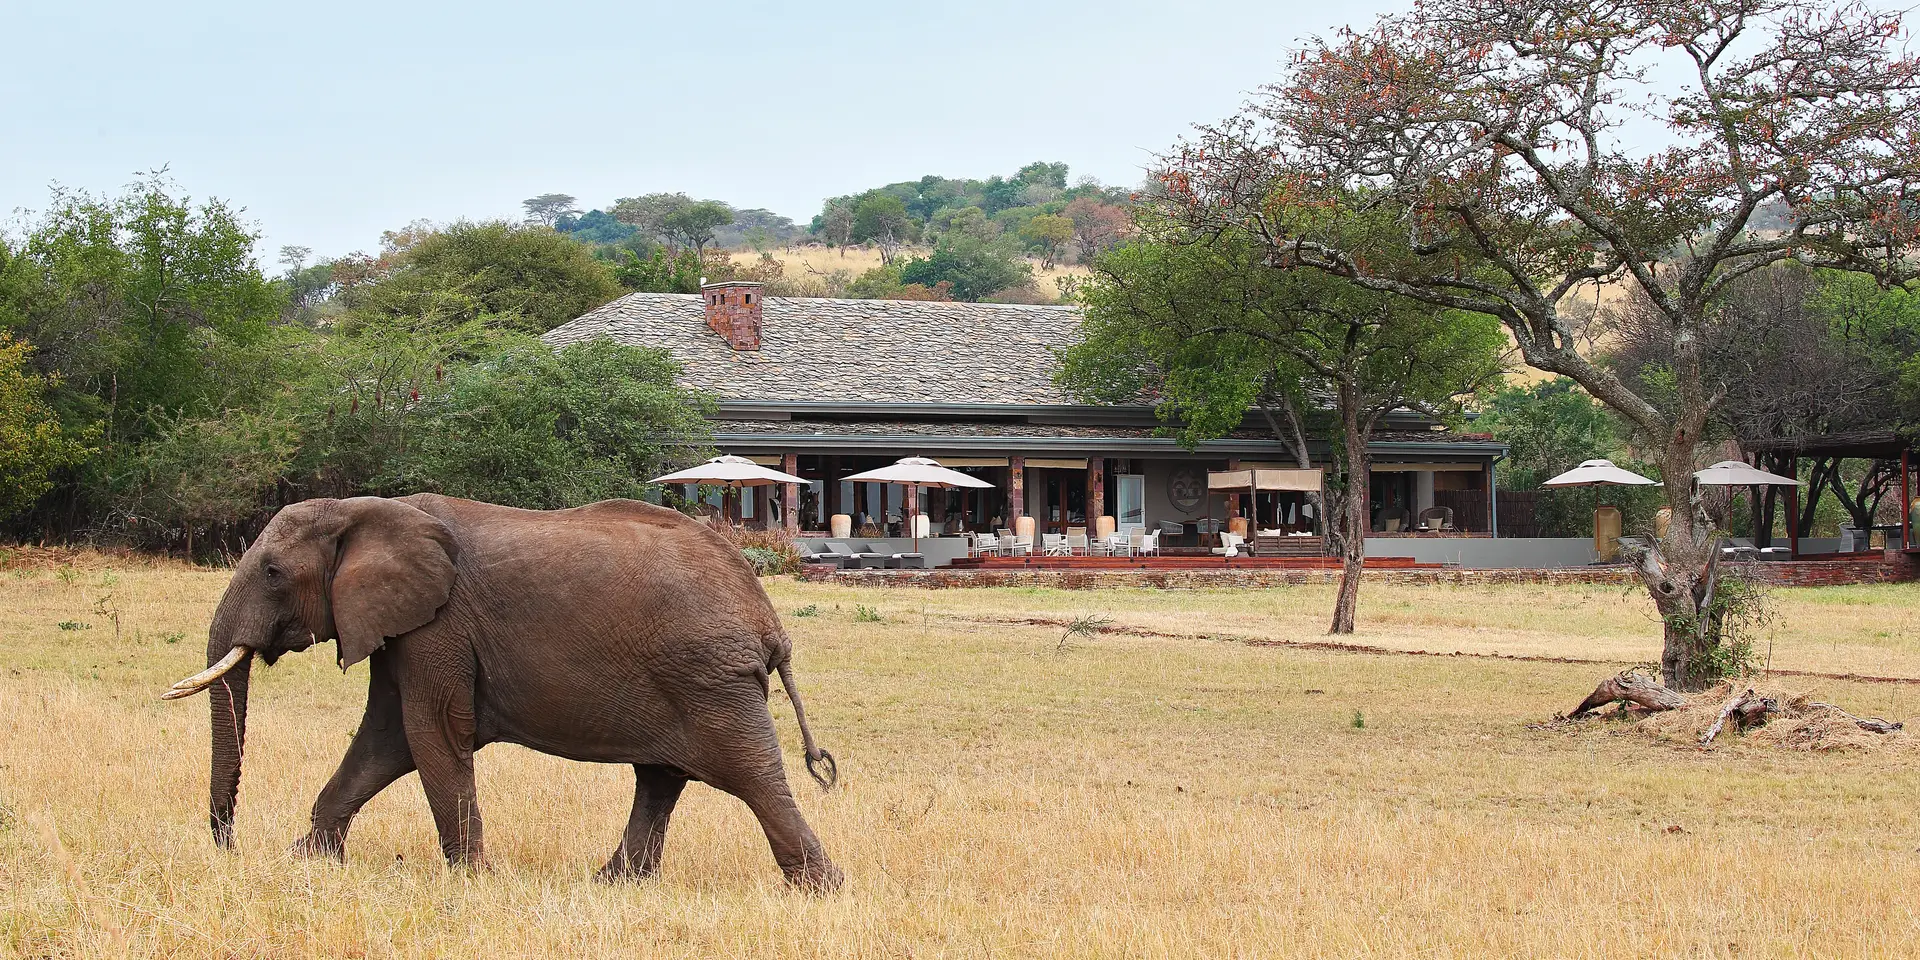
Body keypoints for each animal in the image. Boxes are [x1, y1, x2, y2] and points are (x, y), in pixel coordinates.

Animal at [168, 495, 844, 890]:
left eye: (273, 572)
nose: (228, 847)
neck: (367, 510)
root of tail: (767, 618)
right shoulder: (403, 627)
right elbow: (387, 740)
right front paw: (308, 862)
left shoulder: (439, 626)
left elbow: (433, 733)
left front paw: (472, 882)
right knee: (661, 779)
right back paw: (610, 886)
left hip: (710, 679)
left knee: (751, 775)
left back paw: (821, 890)